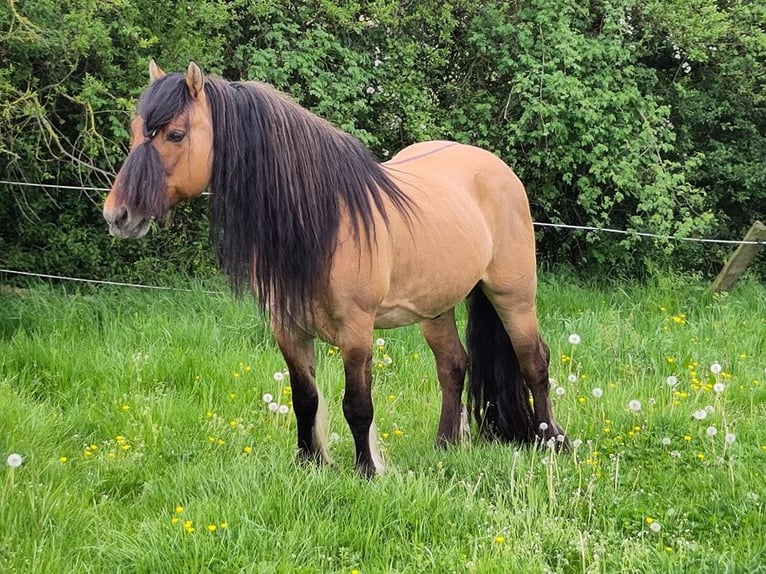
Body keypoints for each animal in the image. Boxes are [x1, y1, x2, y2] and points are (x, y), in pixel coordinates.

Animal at [103, 61, 565, 477]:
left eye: (175, 134)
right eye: (134, 131)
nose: (117, 216)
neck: (324, 223)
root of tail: (497, 168)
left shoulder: (356, 331)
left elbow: (357, 405)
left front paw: (367, 471)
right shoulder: (288, 329)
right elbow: (305, 399)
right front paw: (310, 463)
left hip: (513, 296)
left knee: (534, 363)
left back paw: (551, 439)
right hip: (435, 307)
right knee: (453, 365)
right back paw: (445, 445)